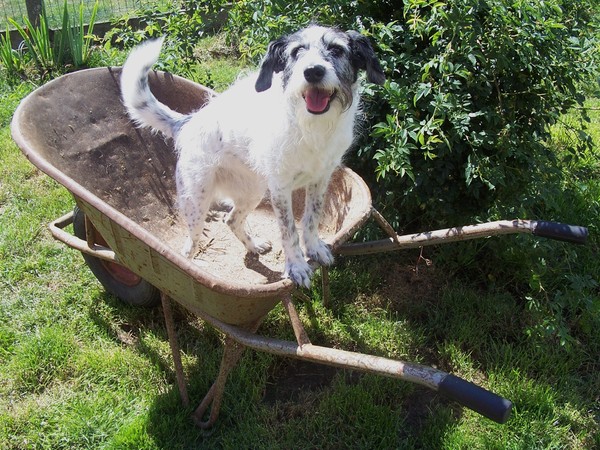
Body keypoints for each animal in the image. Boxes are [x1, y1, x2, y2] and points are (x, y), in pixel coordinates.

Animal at [120, 24, 386, 286]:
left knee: (231, 219)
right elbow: (289, 230)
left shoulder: (320, 180)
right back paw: (189, 271)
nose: (312, 72)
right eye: (296, 51)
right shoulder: (280, 189)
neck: (310, 127)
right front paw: (296, 266)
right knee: (189, 247)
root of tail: (188, 122)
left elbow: (311, 218)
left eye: (337, 50)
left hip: (253, 191)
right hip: (197, 202)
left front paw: (314, 248)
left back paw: (254, 245)